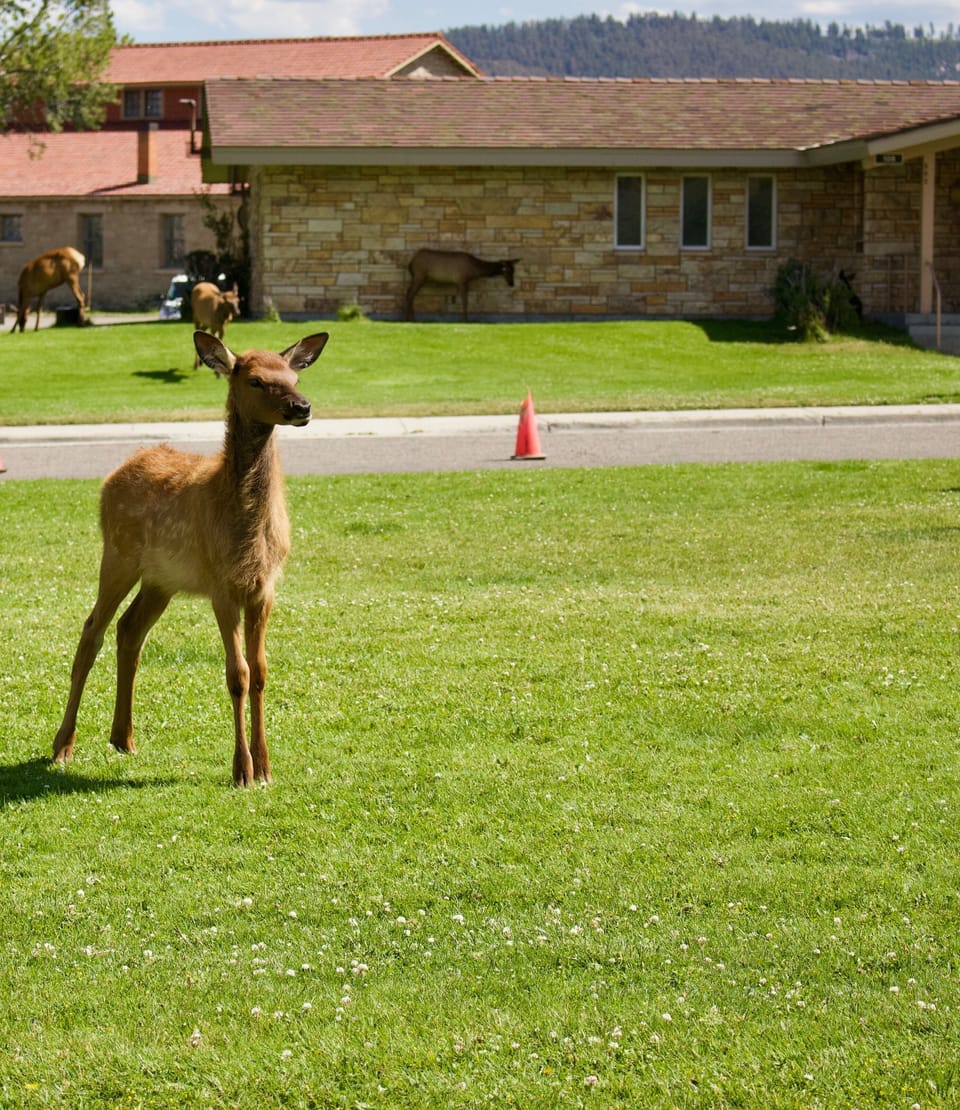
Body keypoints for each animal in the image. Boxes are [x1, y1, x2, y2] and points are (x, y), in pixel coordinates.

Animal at [51, 329, 329, 786]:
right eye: (255, 380)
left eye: (295, 377)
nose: (302, 407)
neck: (246, 533)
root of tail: (114, 474)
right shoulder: (221, 584)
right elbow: (238, 674)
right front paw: (242, 770)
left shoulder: (265, 587)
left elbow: (261, 672)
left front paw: (266, 767)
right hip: (118, 553)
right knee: (92, 631)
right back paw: (62, 746)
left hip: (161, 579)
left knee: (129, 630)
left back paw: (123, 738)